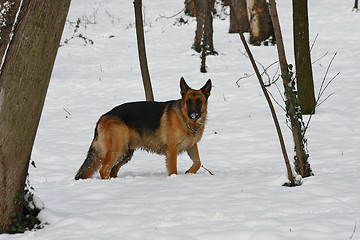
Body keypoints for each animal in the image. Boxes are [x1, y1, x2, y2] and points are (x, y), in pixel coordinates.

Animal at [75, 78, 211, 179]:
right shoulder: (172, 149)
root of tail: (103, 116)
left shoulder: (192, 146)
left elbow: (198, 162)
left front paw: (189, 172)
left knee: (113, 170)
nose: (194, 114)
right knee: (104, 169)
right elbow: (173, 170)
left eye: (199, 102)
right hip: (118, 149)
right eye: (188, 101)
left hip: (126, 153)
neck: (186, 121)